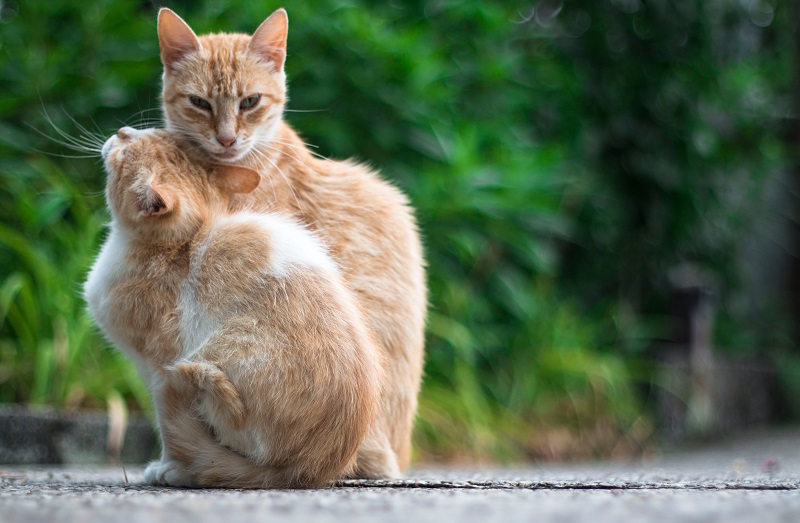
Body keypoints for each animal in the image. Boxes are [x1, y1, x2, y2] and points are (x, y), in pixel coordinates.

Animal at [83, 127, 382, 488]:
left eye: (125, 153)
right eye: (155, 131)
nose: (122, 131)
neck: (180, 246)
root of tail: (305, 471)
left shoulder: (159, 367)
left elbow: (167, 428)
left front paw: (171, 467)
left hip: (216, 355)